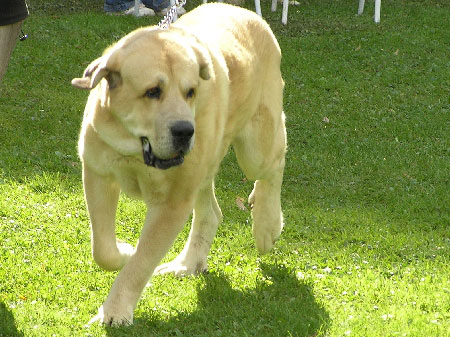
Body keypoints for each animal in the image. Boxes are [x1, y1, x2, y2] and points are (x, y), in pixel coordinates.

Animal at [72, 2, 286, 326]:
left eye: (190, 92)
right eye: (152, 92)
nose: (185, 130)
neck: (135, 149)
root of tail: (247, 14)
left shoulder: (171, 204)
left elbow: (142, 262)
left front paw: (115, 310)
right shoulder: (98, 173)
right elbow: (102, 248)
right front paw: (124, 252)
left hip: (256, 147)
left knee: (274, 163)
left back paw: (266, 226)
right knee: (211, 213)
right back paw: (187, 263)